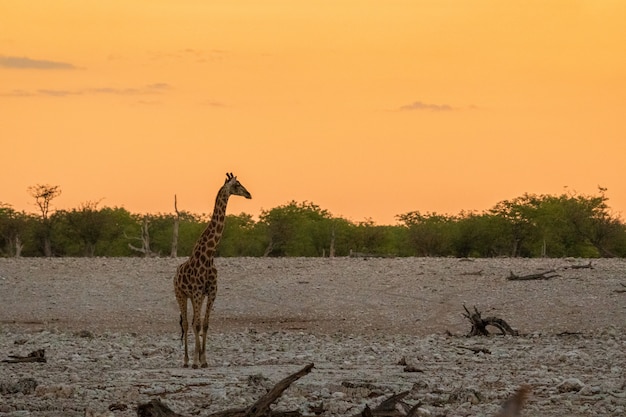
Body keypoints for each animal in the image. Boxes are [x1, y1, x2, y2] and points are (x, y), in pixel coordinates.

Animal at [173, 172, 251, 368]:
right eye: (237, 184)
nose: (249, 194)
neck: (209, 256)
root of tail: (175, 274)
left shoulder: (211, 292)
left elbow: (205, 324)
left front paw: (204, 360)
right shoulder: (197, 292)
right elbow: (196, 325)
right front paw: (195, 361)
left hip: (195, 296)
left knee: (194, 321)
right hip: (180, 294)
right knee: (186, 323)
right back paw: (186, 361)